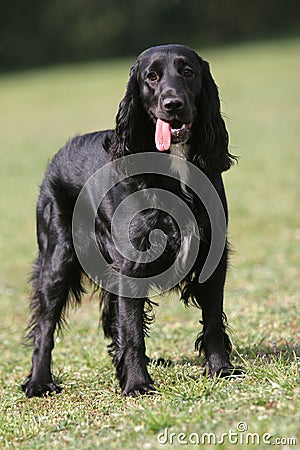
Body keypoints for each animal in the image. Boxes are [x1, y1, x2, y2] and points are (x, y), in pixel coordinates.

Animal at [22, 44, 239, 398]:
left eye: (188, 72)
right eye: (151, 77)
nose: (173, 104)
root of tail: (61, 151)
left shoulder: (212, 254)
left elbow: (212, 321)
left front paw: (221, 368)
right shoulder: (133, 263)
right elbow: (132, 330)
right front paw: (137, 383)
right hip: (57, 260)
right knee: (45, 324)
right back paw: (39, 381)